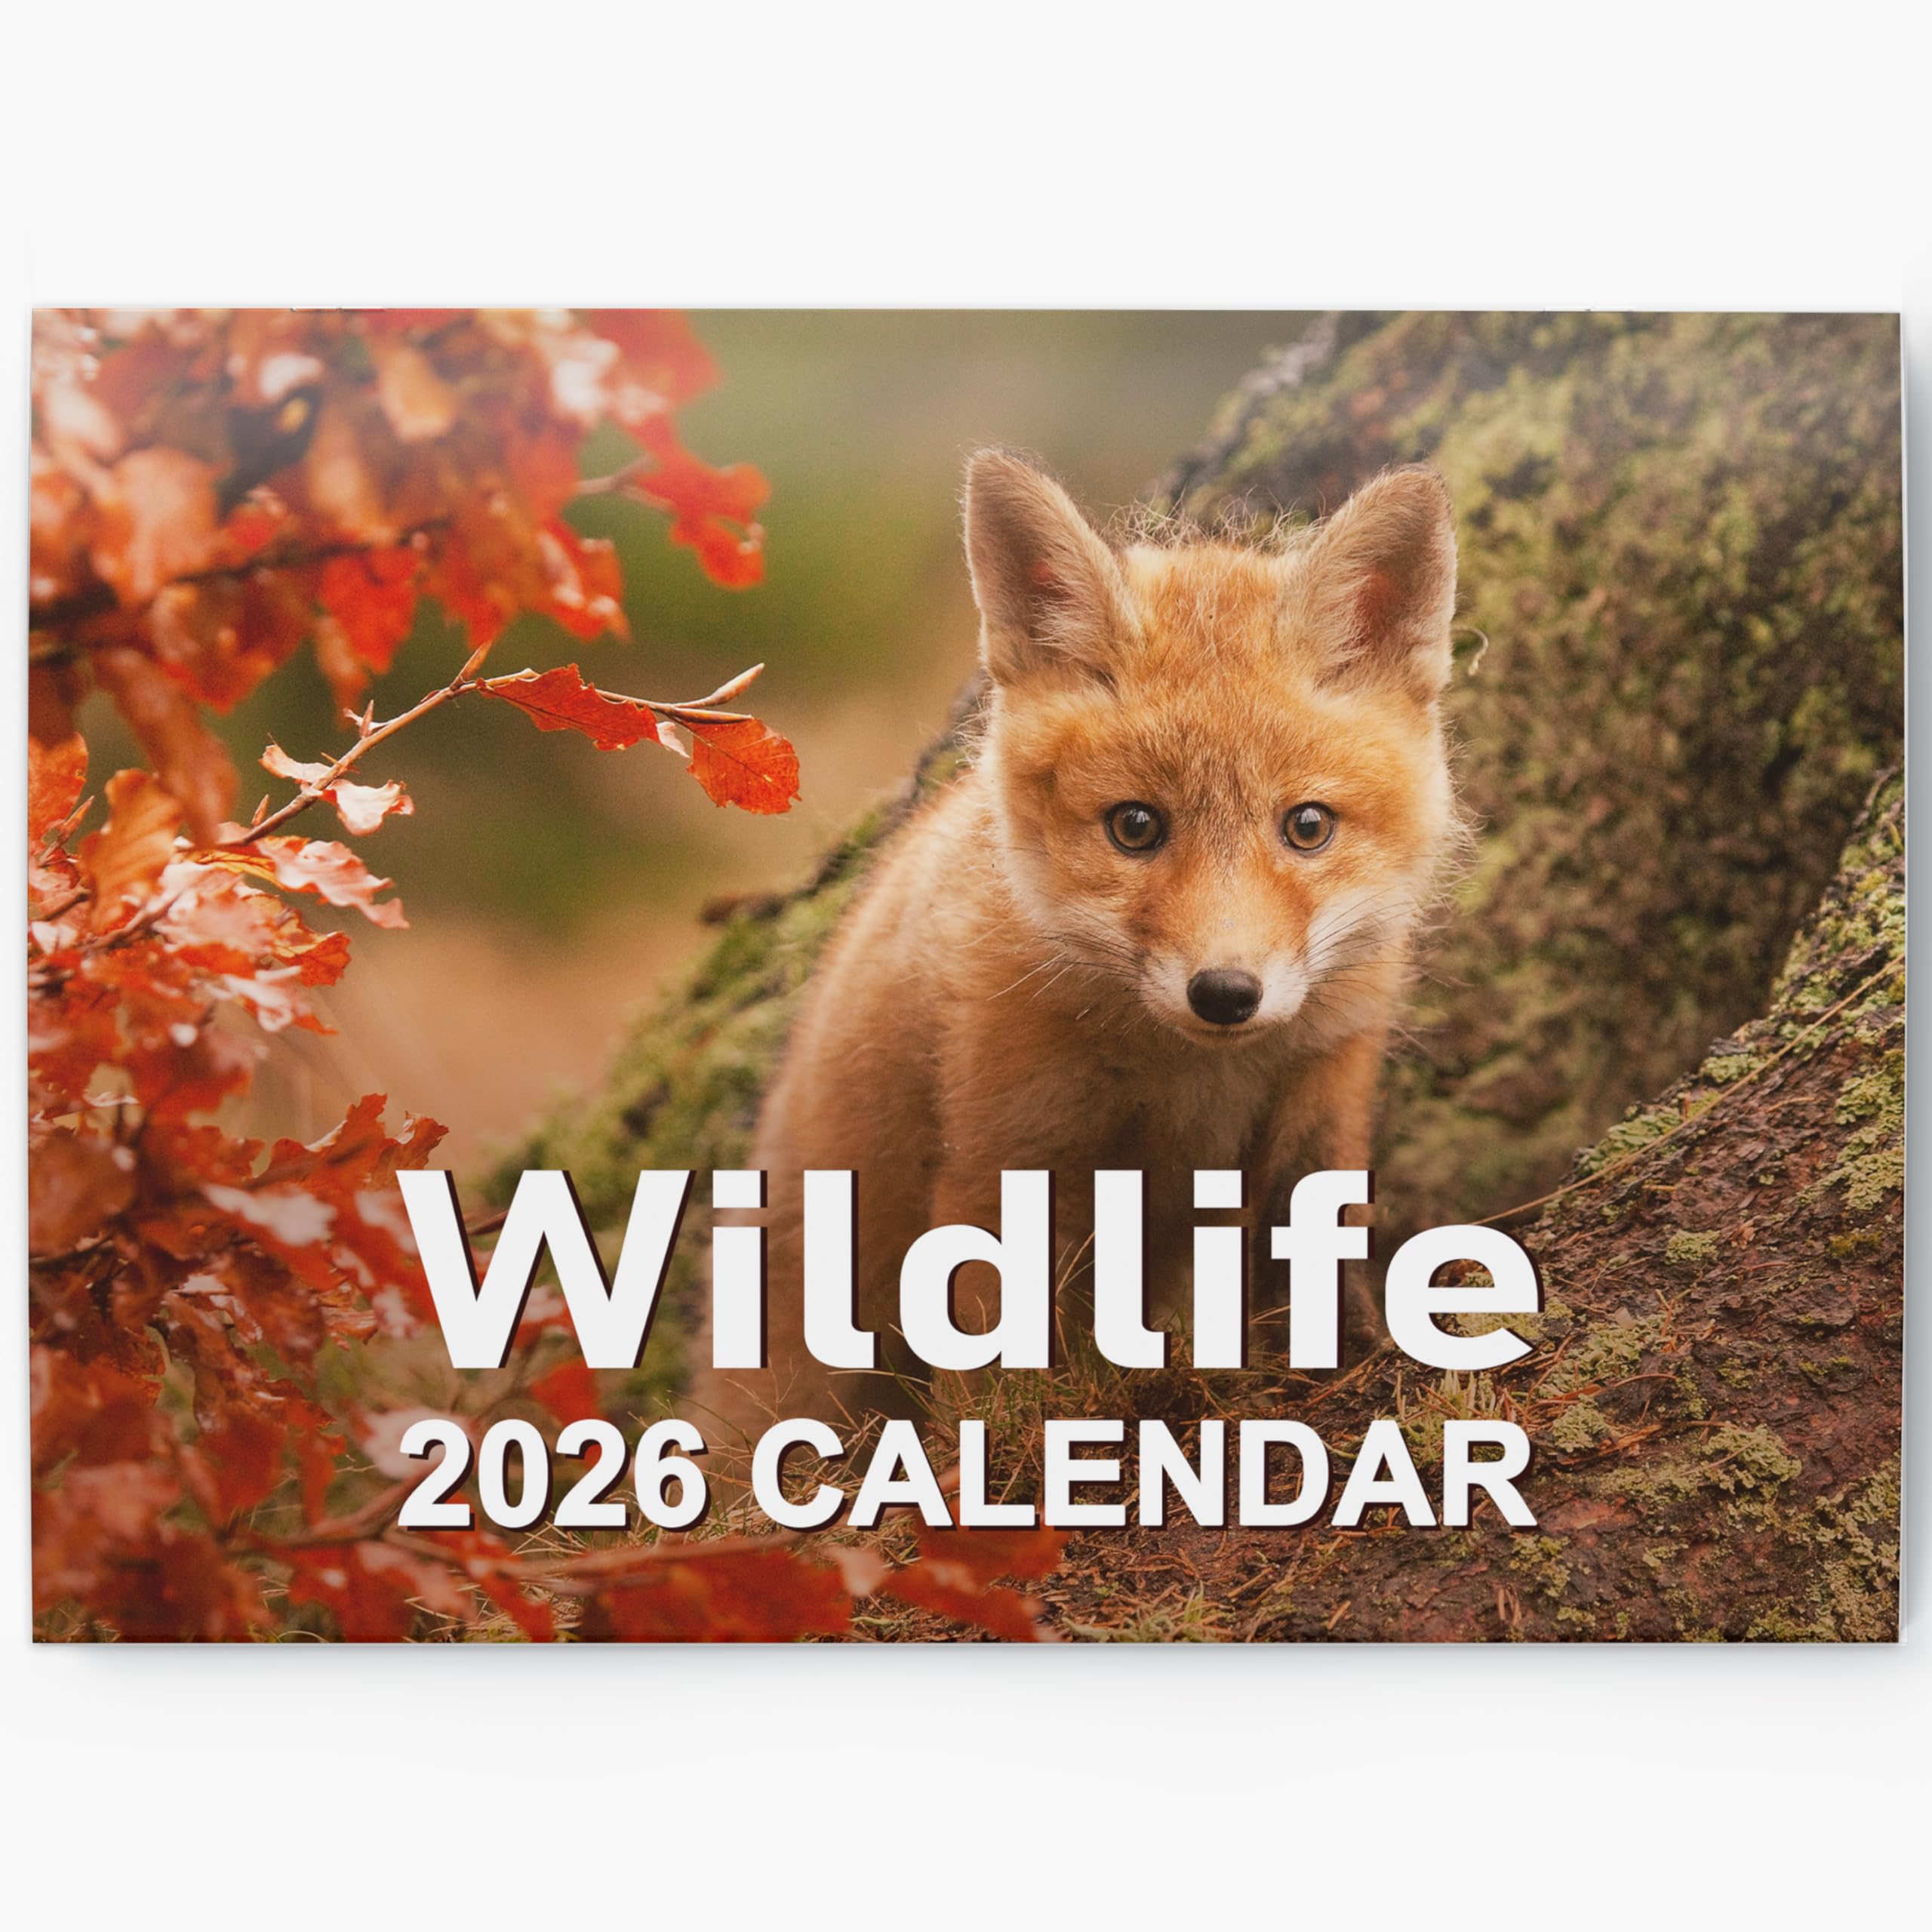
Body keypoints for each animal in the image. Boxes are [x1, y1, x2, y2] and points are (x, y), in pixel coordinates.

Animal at [699, 449, 1461, 1442]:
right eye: (1135, 827)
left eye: (1307, 826)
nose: (1225, 992)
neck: (1190, 1082)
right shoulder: (1002, 1155)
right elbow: (989, 1381)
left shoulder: (1323, 1097)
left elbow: (1320, 1274)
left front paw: (1354, 1358)